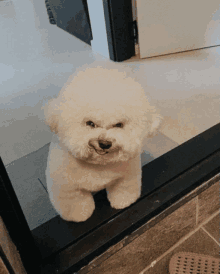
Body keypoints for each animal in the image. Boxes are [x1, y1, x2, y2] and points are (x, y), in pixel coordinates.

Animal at [43, 66, 162, 223]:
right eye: (90, 123)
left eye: (118, 125)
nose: (104, 143)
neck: (99, 164)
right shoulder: (67, 188)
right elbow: (76, 202)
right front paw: (80, 216)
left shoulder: (126, 176)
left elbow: (124, 189)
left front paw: (123, 202)